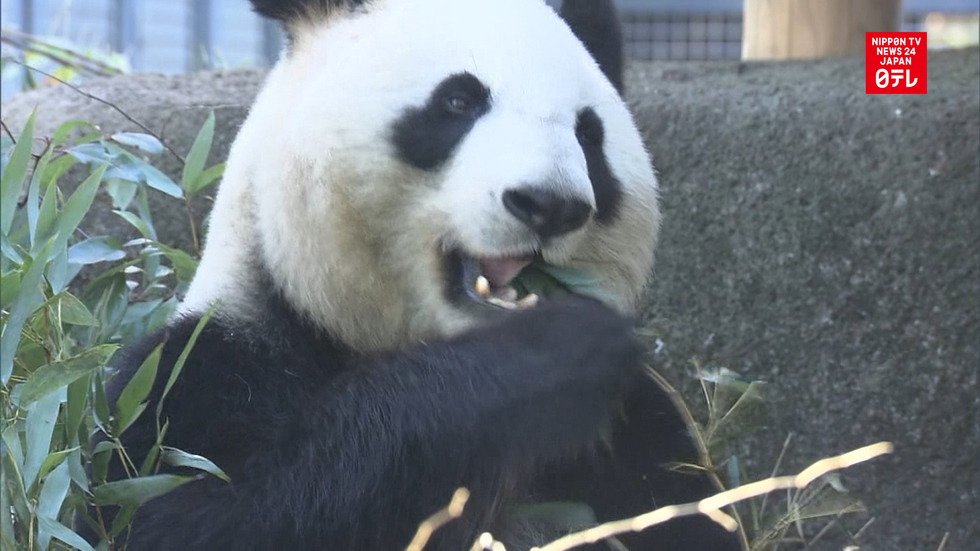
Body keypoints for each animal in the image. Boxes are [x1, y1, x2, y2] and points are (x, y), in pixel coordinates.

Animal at [92, 0, 744, 549]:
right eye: (458, 101)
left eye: (589, 134)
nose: (550, 204)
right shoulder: (197, 380)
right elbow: (192, 518)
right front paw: (554, 358)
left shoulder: (643, 434)